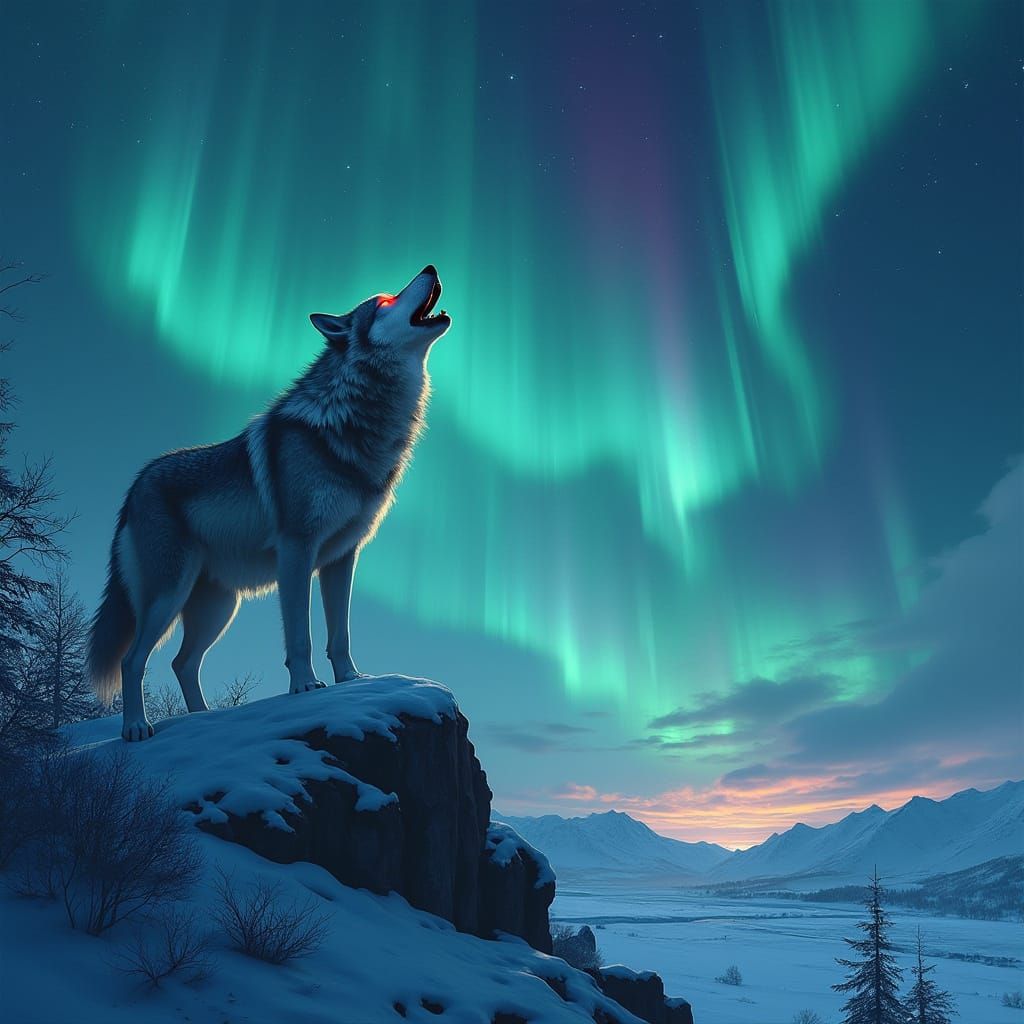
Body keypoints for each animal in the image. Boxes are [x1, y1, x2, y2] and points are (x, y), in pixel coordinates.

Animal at [88, 266, 451, 741]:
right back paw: (136, 727)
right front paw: (306, 687)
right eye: (385, 301)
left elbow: (340, 636)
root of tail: (134, 486)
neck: (355, 425)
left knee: (183, 663)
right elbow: (301, 636)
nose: (430, 268)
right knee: (134, 660)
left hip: (218, 608)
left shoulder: (342, 558)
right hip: (169, 595)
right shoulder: (297, 550)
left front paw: (352, 682)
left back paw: (202, 720)